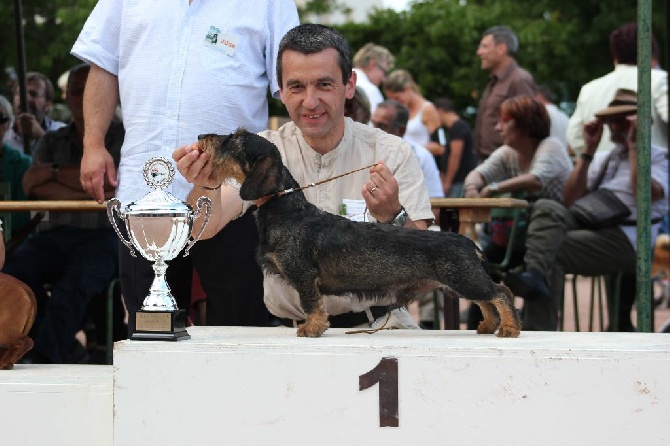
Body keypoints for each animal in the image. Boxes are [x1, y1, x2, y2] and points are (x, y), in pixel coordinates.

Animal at [197, 129, 524, 338]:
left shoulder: (304, 275)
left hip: (464, 279)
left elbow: (311, 304)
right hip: (458, 284)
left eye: (236, 139)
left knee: (501, 293)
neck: (287, 208)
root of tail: (468, 243)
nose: (201, 138)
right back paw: (488, 326)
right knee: (487, 300)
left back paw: (509, 328)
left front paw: (312, 328)